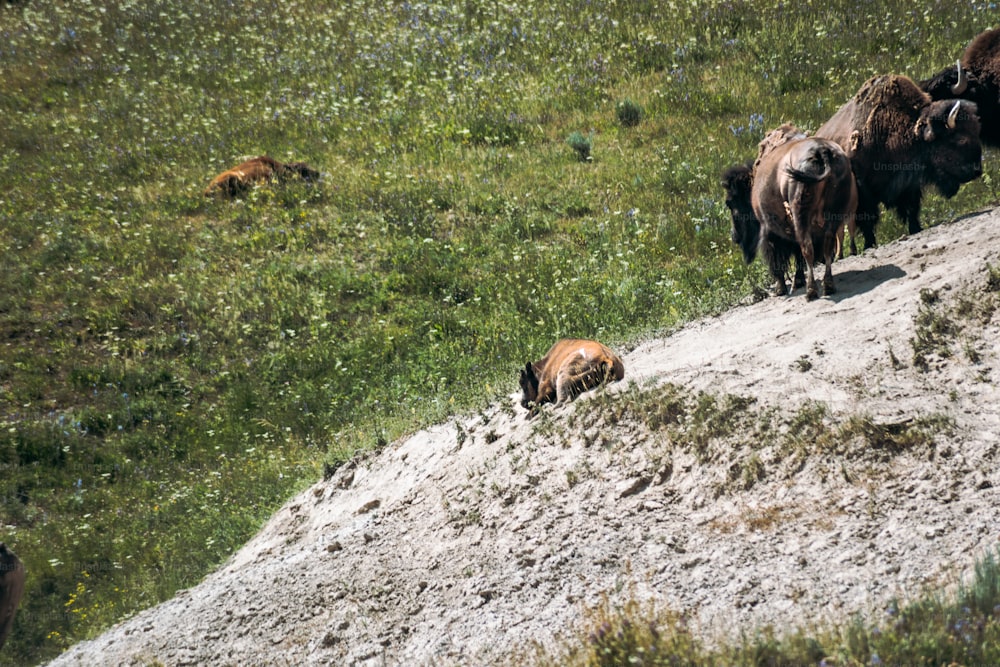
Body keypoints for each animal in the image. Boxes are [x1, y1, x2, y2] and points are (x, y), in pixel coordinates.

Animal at [724, 124, 856, 300]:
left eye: (731, 203)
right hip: (833, 215)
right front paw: (797, 281)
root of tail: (822, 150)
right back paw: (828, 286)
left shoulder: (770, 233)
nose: (734, 236)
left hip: (801, 216)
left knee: (807, 249)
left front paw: (781, 288)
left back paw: (811, 291)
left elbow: (777, 260)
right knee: (827, 246)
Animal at [812, 73, 984, 250]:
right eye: (959, 139)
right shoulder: (863, 187)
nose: (977, 171)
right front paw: (869, 244)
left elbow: (912, 207)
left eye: (976, 131)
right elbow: (868, 218)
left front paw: (916, 228)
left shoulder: (909, 182)